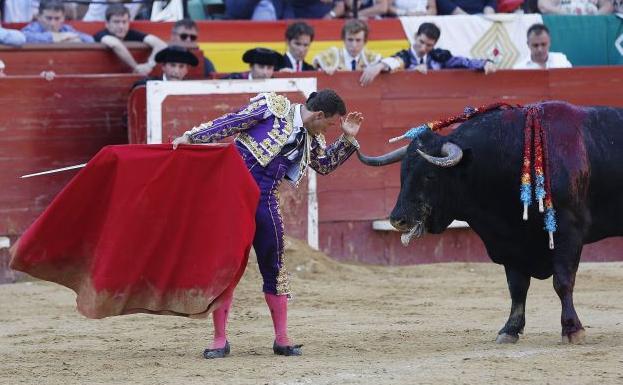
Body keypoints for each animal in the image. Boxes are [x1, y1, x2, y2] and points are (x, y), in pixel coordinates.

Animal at [358, 101, 623, 342]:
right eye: (402, 173)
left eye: (430, 175)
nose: (398, 219)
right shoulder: (511, 241)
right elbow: (517, 286)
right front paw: (510, 329)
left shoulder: (568, 231)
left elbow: (563, 281)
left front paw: (572, 330)